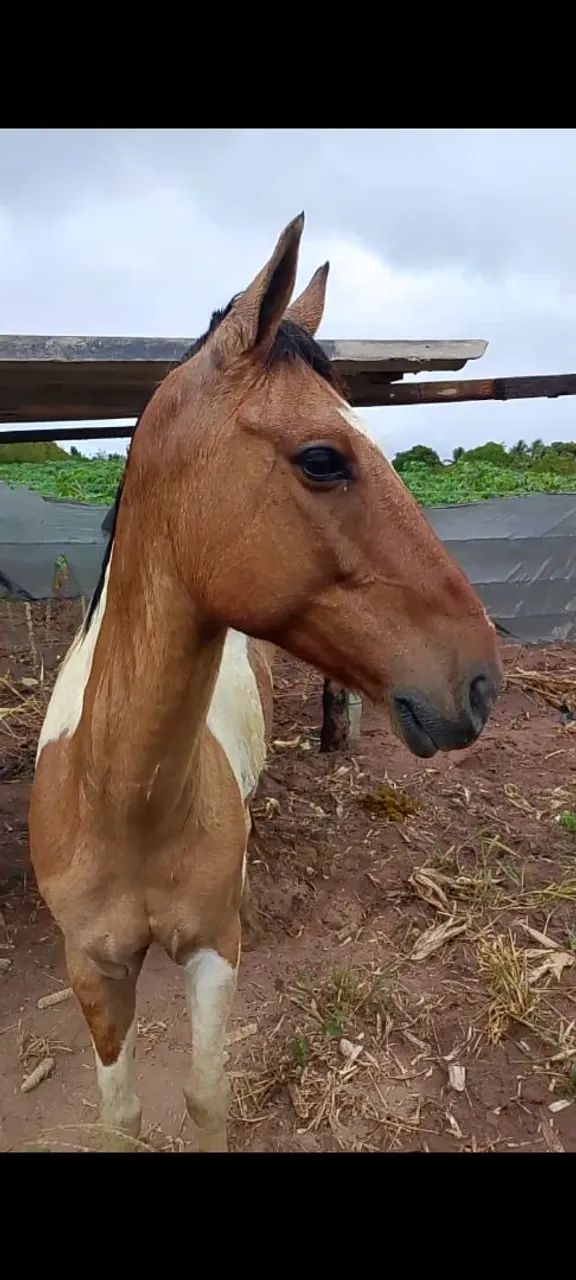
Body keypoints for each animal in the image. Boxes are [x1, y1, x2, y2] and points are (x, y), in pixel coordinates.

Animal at [29, 213, 502, 1152]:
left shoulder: (216, 951)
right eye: (322, 458)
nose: (480, 681)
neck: (121, 800)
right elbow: (122, 1115)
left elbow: (208, 1097)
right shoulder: (91, 968)